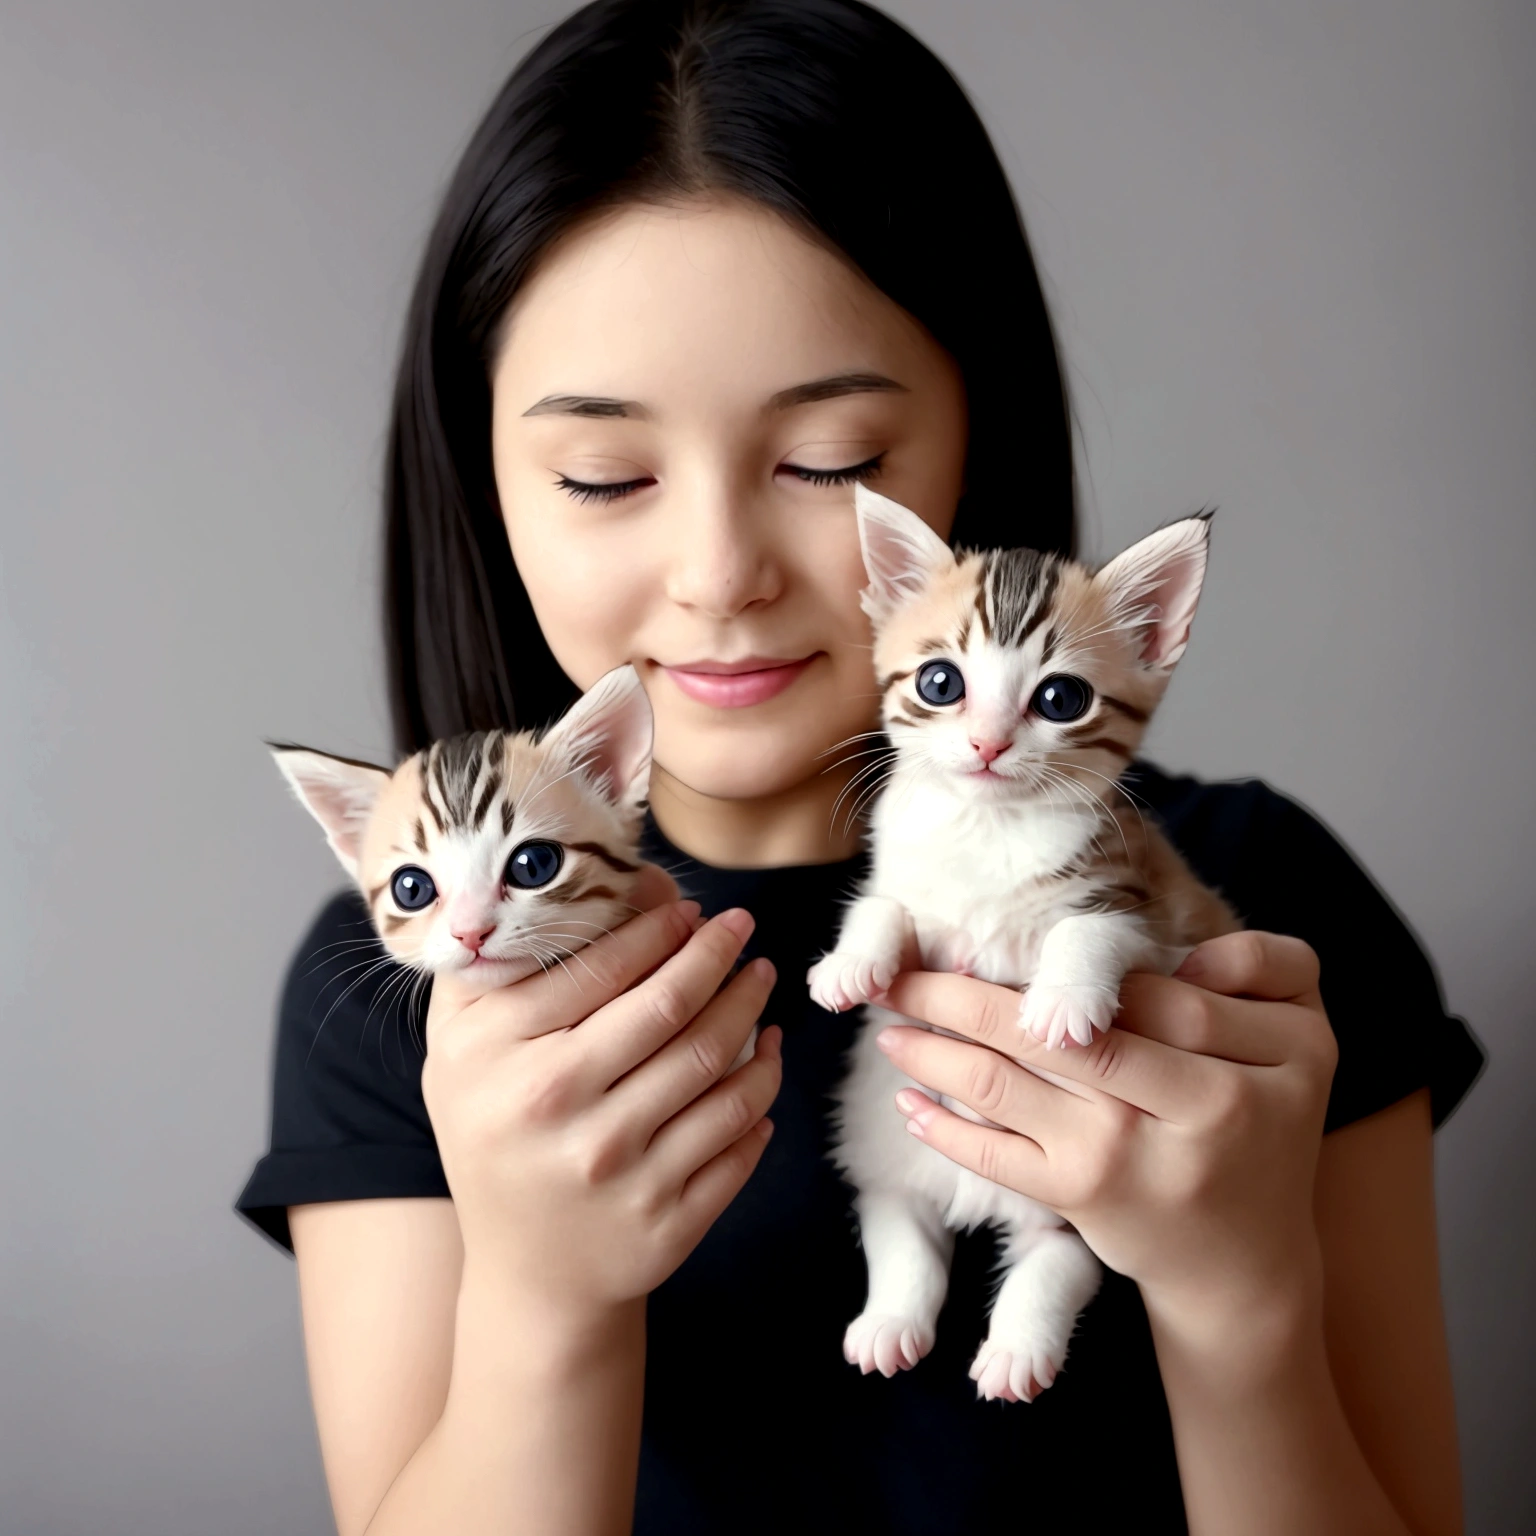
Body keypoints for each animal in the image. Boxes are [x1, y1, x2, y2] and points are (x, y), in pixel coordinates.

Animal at [811, 488, 1241, 1406]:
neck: (988, 827)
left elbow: (1090, 925)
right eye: (941, 684)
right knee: (902, 1219)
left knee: (1050, 1256)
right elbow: (886, 904)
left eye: (1060, 698)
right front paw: (850, 962)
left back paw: (1018, 1344)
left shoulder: (1146, 905)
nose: (987, 743)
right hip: (893, 1134)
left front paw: (1063, 1002)